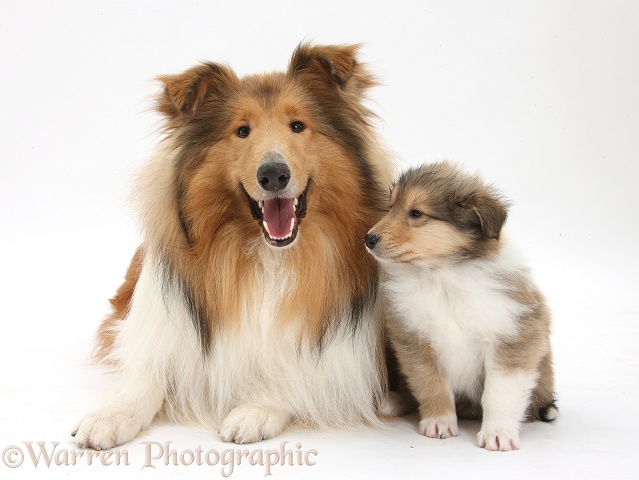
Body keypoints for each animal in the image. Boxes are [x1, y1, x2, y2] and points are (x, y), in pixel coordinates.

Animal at [74, 43, 396, 448]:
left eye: (297, 125)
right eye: (242, 131)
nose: (273, 174)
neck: (269, 257)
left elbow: (297, 372)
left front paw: (257, 408)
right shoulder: (159, 326)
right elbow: (145, 375)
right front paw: (111, 415)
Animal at [368, 163, 556, 452]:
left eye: (416, 212)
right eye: (390, 207)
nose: (368, 239)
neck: (443, 276)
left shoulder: (513, 337)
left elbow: (499, 391)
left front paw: (498, 433)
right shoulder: (415, 340)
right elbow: (430, 382)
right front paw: (439, 422)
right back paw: (392, 400)